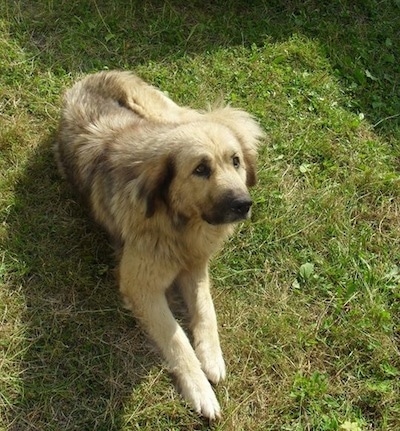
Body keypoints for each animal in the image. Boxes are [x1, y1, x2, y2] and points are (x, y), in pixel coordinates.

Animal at [54, 71, 264, 422]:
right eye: (201, 169)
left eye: (235, 161)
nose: (243, 204)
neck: (178, 224)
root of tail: (91, 75)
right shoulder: (141, 286)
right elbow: (177, 338)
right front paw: (199, 388)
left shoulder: (195, 267)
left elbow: (206, 311)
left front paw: (212, 357)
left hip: (166, 115)